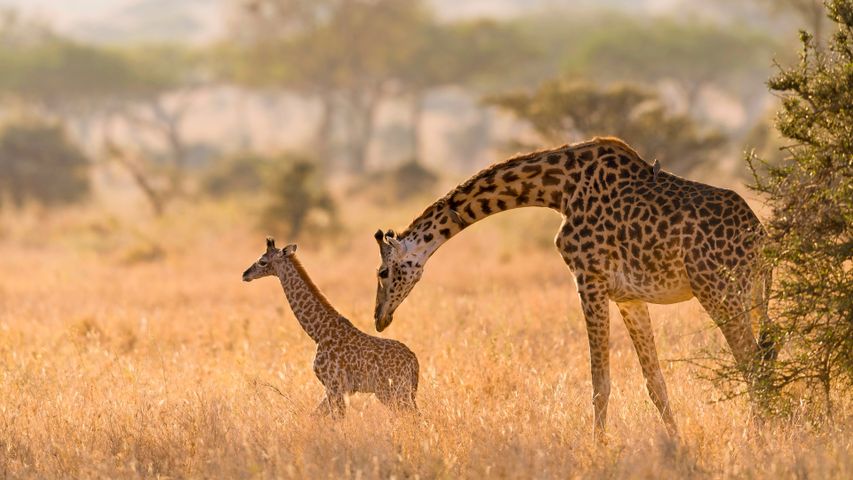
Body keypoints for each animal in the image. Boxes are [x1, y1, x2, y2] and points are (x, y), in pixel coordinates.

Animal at [243, 238, 419, 417]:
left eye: (262, 262)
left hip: (392, 390)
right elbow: (315, 416)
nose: (245, 274)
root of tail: (413, 361)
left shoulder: (334, 385)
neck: (319, 332)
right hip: (402, 391)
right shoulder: (337, 389)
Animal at [372, 137, 776, 440]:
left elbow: (600, 382)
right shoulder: (628, 296)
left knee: (753, 363)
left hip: (719, 291)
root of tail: (760, 238)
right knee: (764, 358)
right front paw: (676, 444)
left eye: (382, 271)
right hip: (751, 296)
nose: (379, 318)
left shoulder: (589, 279)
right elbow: (655, 383)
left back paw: (757, 437)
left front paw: (598, 448)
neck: (557, 190)